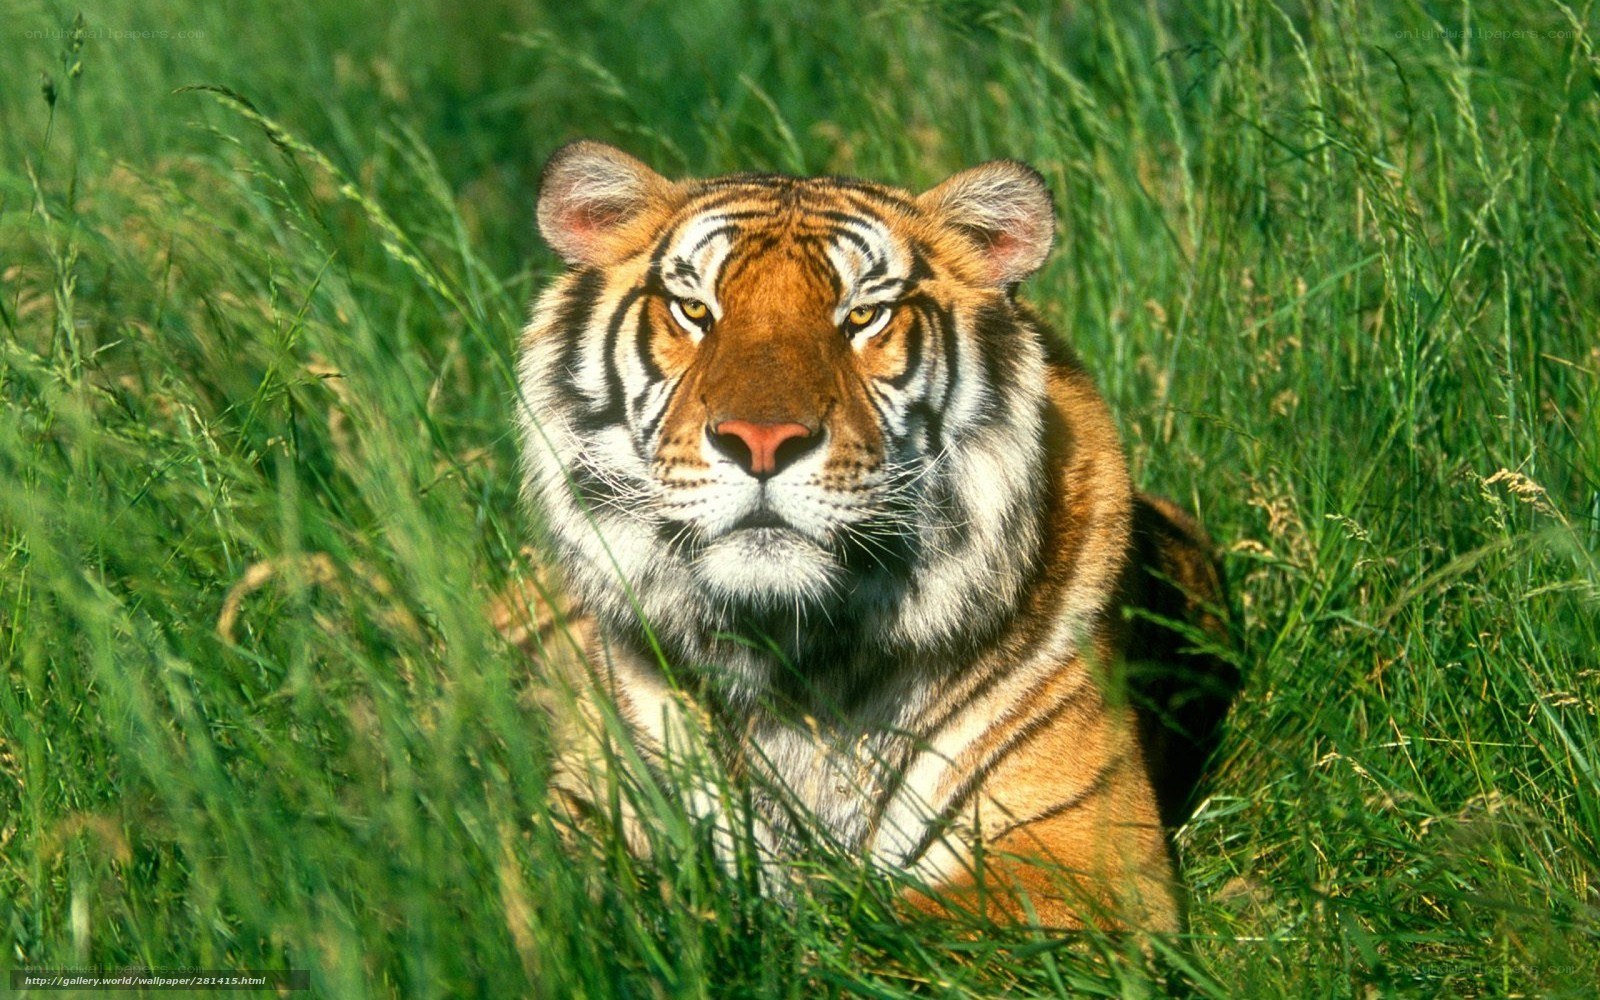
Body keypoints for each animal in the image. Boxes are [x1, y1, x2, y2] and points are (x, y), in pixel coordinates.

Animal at [501, 140, 1235, 933]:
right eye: (695, 310)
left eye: (863, 316)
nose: (762, 442)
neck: (793, 657)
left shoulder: (1078, 859)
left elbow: (877, 935)